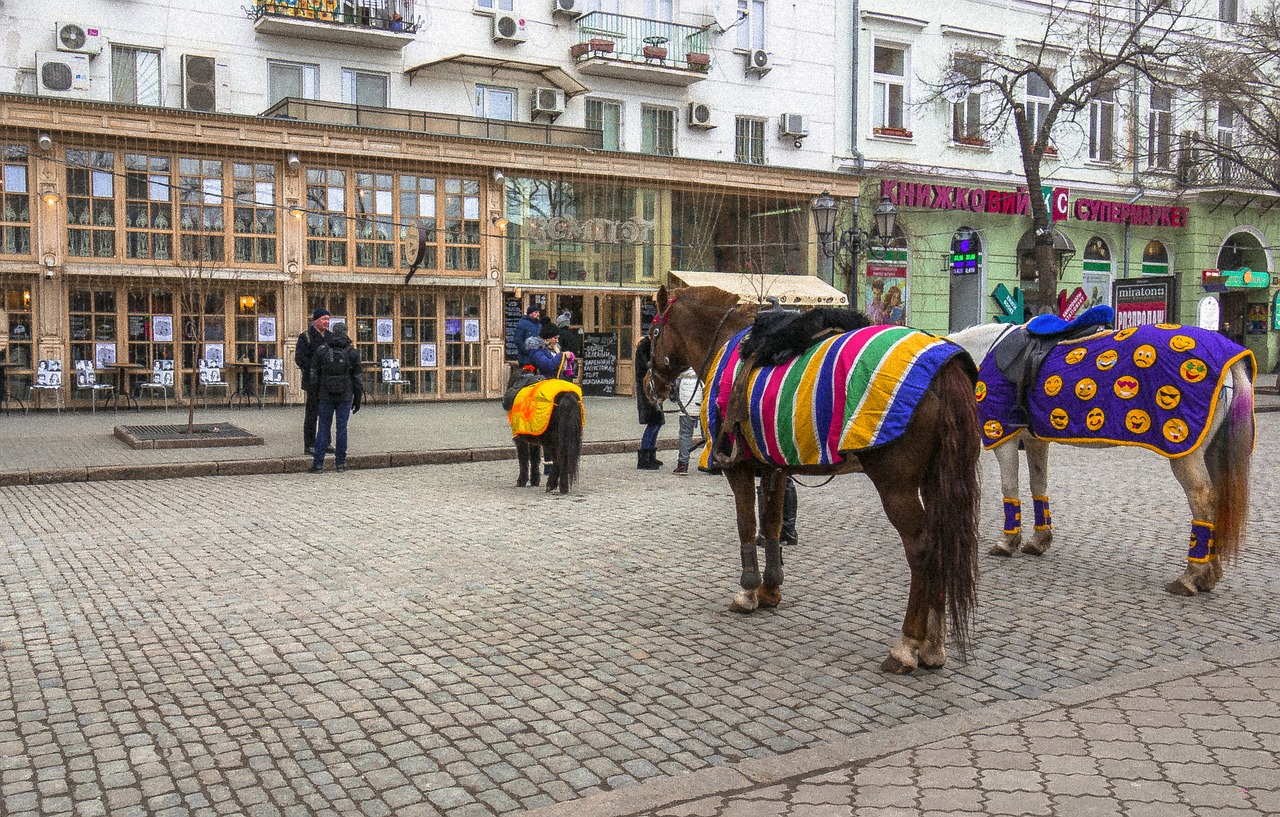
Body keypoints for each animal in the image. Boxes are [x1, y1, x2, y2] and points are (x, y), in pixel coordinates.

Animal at [645, 284, 983, 676]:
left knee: (923, 550)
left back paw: (907, 645)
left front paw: (747, 592)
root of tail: (945, 367)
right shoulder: (774, 466)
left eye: (652, 332)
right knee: (942, 546)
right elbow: (772, 525)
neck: (728, 339)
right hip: (934, 481)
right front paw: (770, 590)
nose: (649, 386)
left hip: (896, 485)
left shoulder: (738, 467)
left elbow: (747, 524)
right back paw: (934, 646)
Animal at [952, 322, 1249, 599]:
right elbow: (1038, 486)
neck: (984, 351)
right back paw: (1210, 573)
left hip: (1185, 453)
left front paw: (1007, 542)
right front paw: (1039, 540)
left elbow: (1009, 488)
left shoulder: (1002, 437)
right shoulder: (1035, 440)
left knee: (1203, 501)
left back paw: (1191, 576)